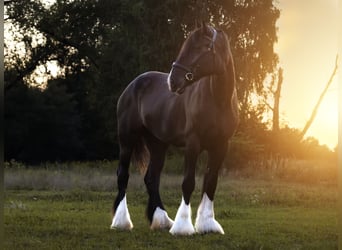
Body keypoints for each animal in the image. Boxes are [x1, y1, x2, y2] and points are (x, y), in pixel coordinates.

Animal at [111, 23, 238, 234]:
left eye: (200, 48)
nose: (173, 81)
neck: (218, 101)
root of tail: (132, 85)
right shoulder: (193, 143)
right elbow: (188, 182)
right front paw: (183, 226)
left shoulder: (221, 145)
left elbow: (211, 182)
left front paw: (208, 224)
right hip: (127, 139)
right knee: (123, 175)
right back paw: (121, 222)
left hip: (157, 144)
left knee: (151, 178)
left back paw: (161, 220)